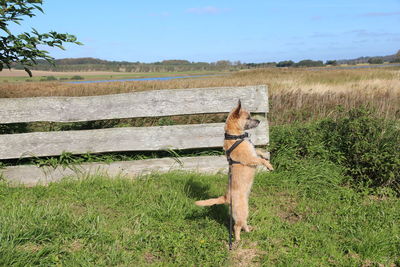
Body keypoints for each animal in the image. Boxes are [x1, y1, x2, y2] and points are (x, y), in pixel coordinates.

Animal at [195, 101, 276, 243]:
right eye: (248, 117)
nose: (259, 121)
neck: (236, 136)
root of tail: (226, 198)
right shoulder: (249, 159)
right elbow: (259, 159)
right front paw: (268, 165)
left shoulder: (253, 152)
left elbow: (258, 151)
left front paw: (265, 156)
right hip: (243, 210)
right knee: (237, 226)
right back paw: (237, 239)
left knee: (243, 223)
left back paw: (248, 230)